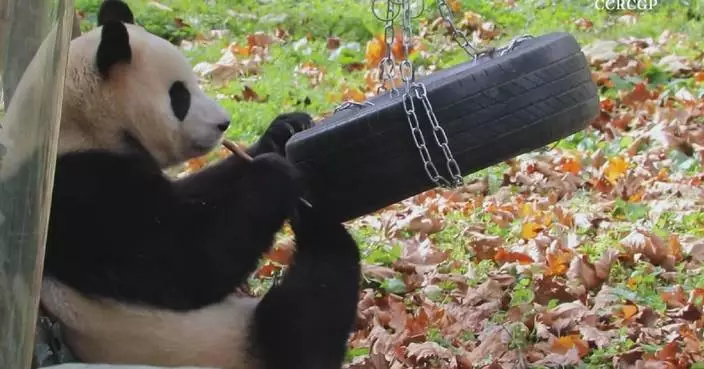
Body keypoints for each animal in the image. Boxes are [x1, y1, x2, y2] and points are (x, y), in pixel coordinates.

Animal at [35, 0, 360, 368]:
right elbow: (183, 259)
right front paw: (275, 174)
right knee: (308, 308)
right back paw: (319, 235)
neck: (79, 123)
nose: (224, 123)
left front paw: (284, 130)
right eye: (180, 96)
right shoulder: (83, 193)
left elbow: (200, 195)